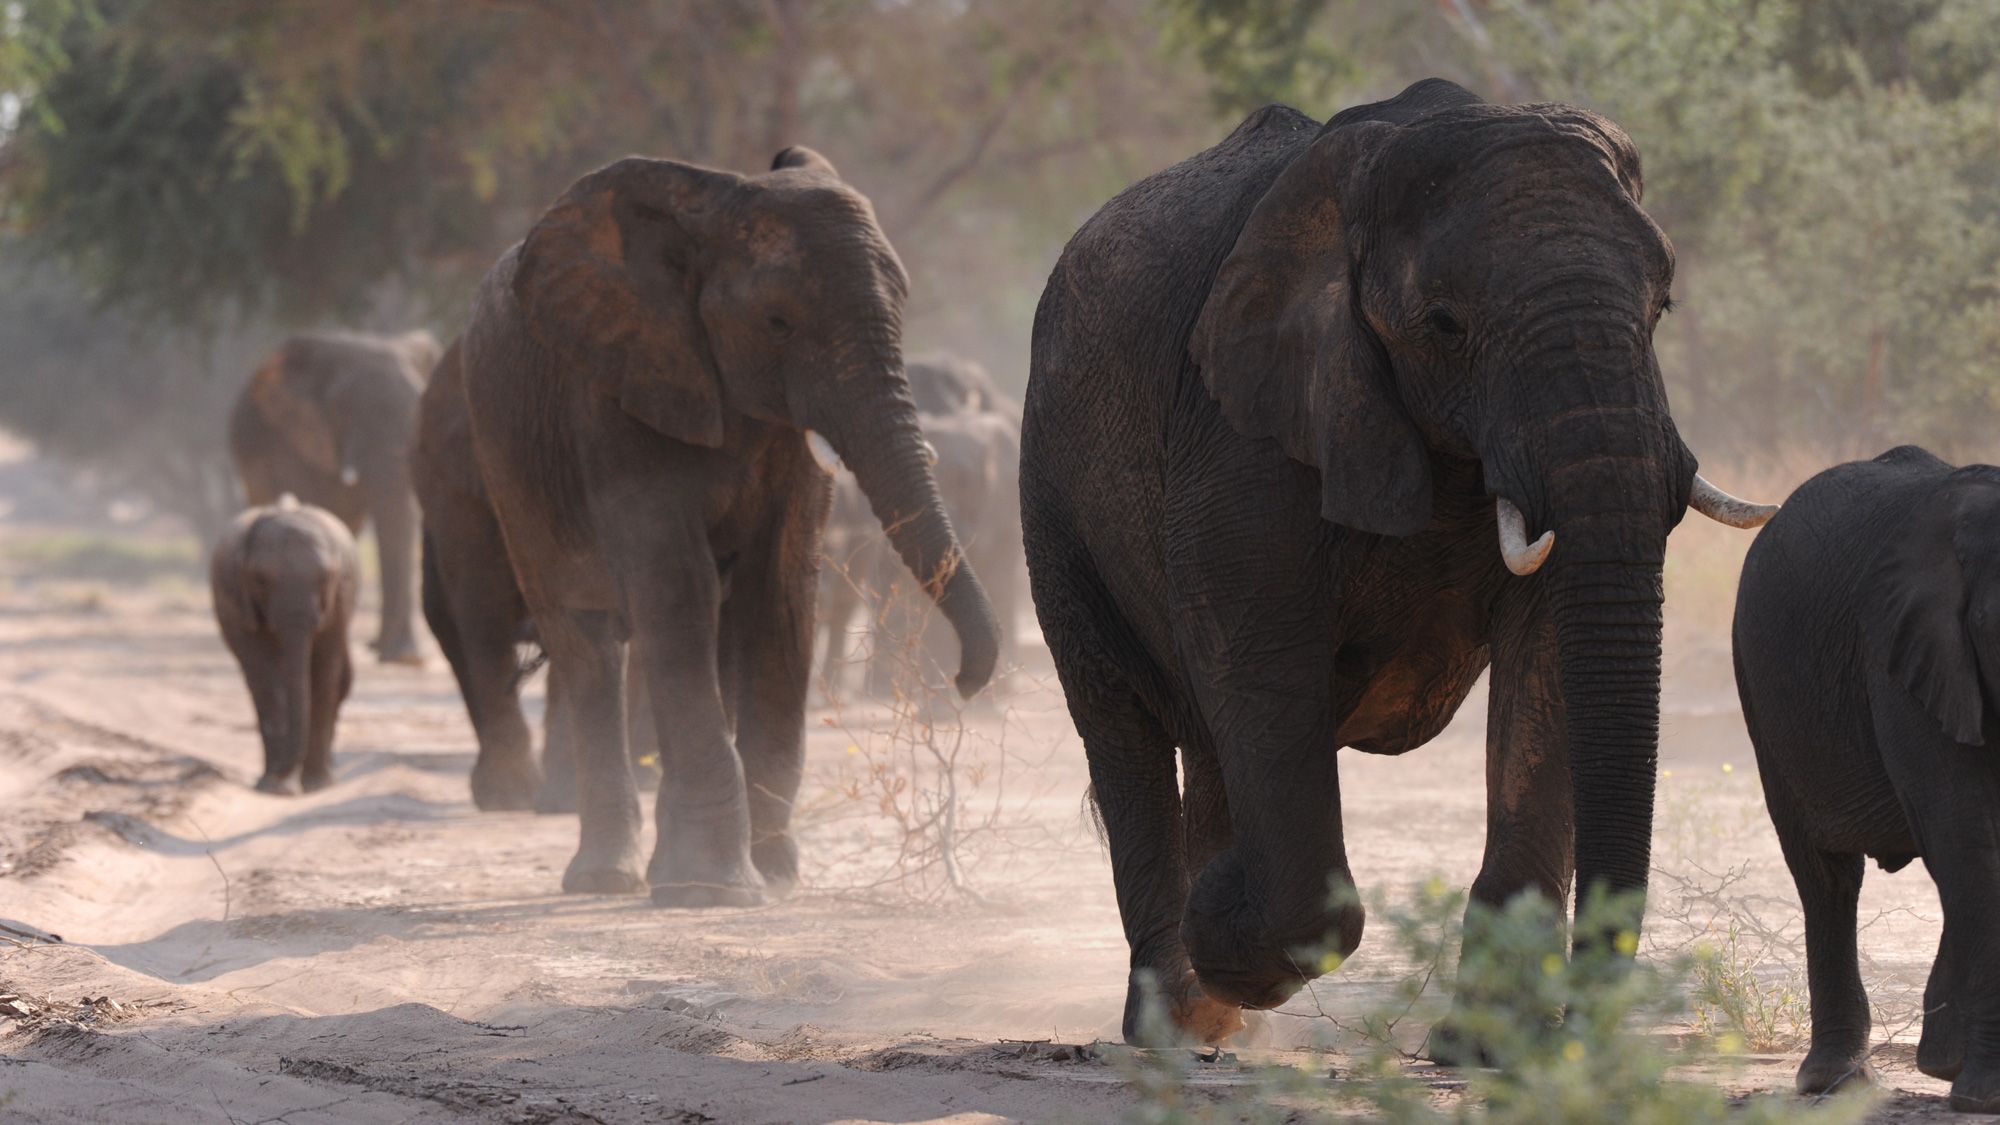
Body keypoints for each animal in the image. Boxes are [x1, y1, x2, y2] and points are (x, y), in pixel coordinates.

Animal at [215, 494, 364, 792]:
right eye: (260, 579)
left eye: (325, 578)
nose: (280, 772)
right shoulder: (239, 603)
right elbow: (266, 677)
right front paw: (276, 788)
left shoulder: (338, 602)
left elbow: (323, 674)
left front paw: (317, 786)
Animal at [464, 144, 1000, 904]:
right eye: (777, 322)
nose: (961, 684)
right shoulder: (621, 387)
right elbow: (675, 586)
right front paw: (714, 890)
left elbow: (781, 584)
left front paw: (773, 879)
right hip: (506, 453)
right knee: (588, 642)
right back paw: (605, 879)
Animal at [1024, 79, 1776, 1040]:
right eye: (1445, 325)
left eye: (1663, 307)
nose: (1583, 1016)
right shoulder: (1240, 425)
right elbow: (1258, 655)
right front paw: (1222, 916)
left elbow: (1547, 671)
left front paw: (1490, 1046)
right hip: (1050, 491)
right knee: (1123, 719)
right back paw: (1180, 1017)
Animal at [1736, 442, 2000, 1104]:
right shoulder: (1907, 656)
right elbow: (1969, 840)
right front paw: (1983, 1095)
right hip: (1763, 691)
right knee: (1826, 875)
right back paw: (1840, 1080)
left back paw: (1938, 1061)